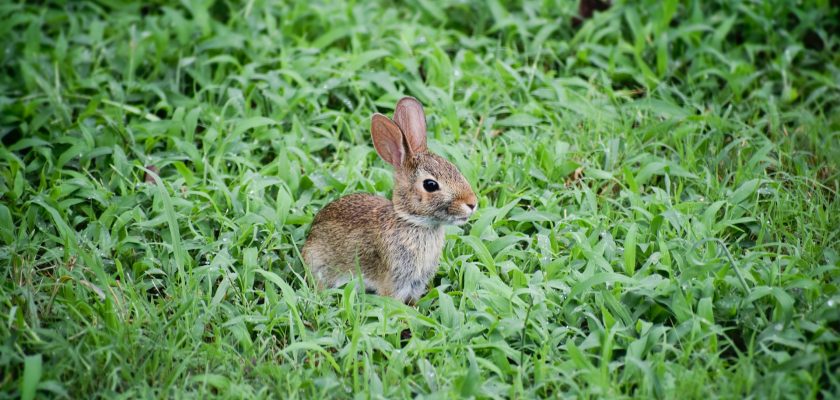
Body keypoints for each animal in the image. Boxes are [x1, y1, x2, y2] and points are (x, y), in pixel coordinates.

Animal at [302, 97, 476, 304]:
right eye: (430, 185)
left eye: (454, 168)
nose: (473, 203)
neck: (413, 222)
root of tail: (311, 235)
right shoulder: (395, 282)